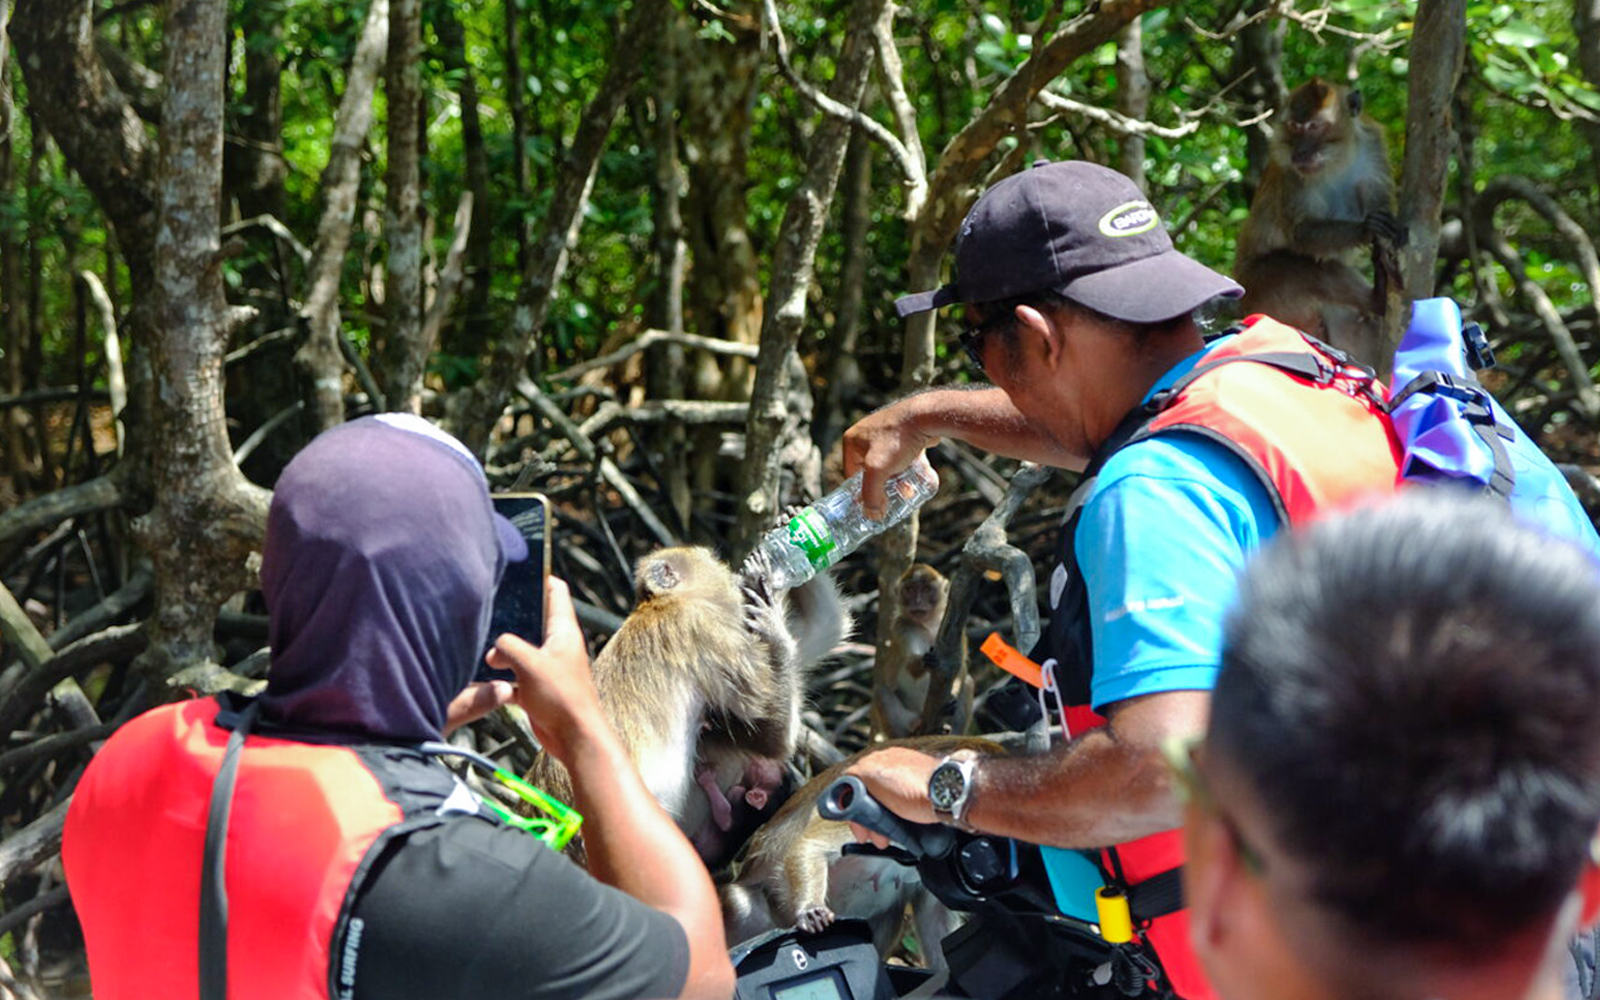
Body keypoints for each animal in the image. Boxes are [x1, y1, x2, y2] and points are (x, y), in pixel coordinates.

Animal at [524, 545, 849, 866]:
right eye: (715, 561)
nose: (734, 573)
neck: (660, 605)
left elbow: (822, 630)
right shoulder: (705, 628)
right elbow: (773, 736)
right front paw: (771, 622)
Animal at [870, 563, 970, 740]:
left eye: (926, 589)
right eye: (910, 590)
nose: (917, 601)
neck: (928, 624)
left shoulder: (958, 631)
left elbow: (960, 667)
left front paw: (952, 696)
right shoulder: (902, 627)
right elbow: (910, 665)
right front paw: (925, 661)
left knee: (969, 682)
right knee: (881, 691)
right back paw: (912, 729)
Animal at [1234, 77, 1406, 366]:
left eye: (1315, 126)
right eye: (1294, 127)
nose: (1301, 152)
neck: (1337, 159)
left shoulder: (1371, 146)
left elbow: (1377, 201)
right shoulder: (1290, 171)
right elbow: (1301, 233)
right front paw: (1365, 229)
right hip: (1263, 289)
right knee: (1309, 272)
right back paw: (1377, 300)